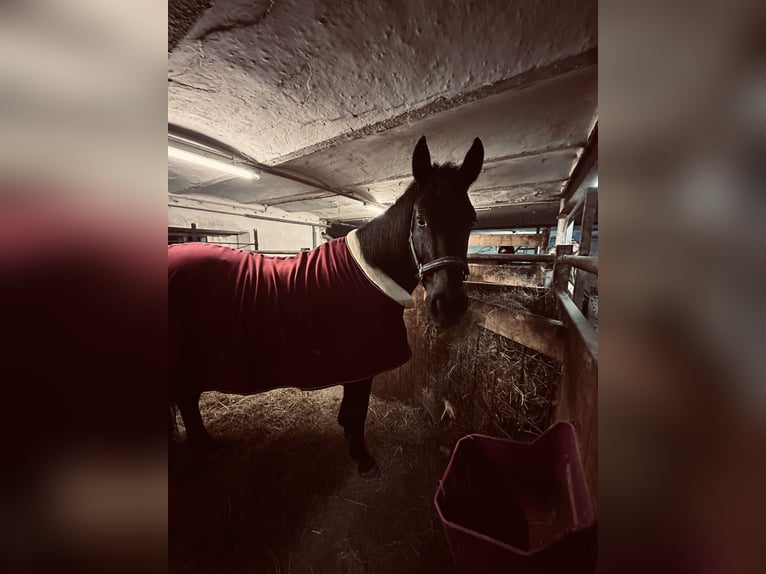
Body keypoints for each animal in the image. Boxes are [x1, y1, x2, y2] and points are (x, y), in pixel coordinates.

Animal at [168, 135, 484, 477]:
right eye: (421, 219)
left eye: (471, 220)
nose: (449, 304)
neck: (371, 271)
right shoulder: (361, 365)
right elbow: (357, 413)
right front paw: (363, 459)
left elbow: (350, 412)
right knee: (187, 399)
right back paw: (205, 448)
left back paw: (205, 446)